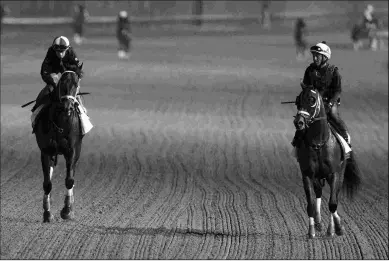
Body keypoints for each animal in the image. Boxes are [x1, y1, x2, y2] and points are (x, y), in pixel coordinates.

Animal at [34, 67, 83, 221]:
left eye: (76, 84)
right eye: (62, 83)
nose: (67, 107)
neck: (61, 124)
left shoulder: (72, 150)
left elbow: (69, 180)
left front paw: (67, 210)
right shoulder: (46, 151)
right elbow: (47, 183)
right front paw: (47, 213)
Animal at [294, 85, 360, 238]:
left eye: (312, 99)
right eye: (298, 100)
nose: (299, 122)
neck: (318, 143)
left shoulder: (334, 174)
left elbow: (332, 204)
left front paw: (336, 229)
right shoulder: (307, 174)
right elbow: (310, 204)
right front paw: (311, 231)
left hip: (339, 174)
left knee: (334, 198)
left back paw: (334, 227)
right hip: (317, 177)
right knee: (318, 192)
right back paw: (318, 223)